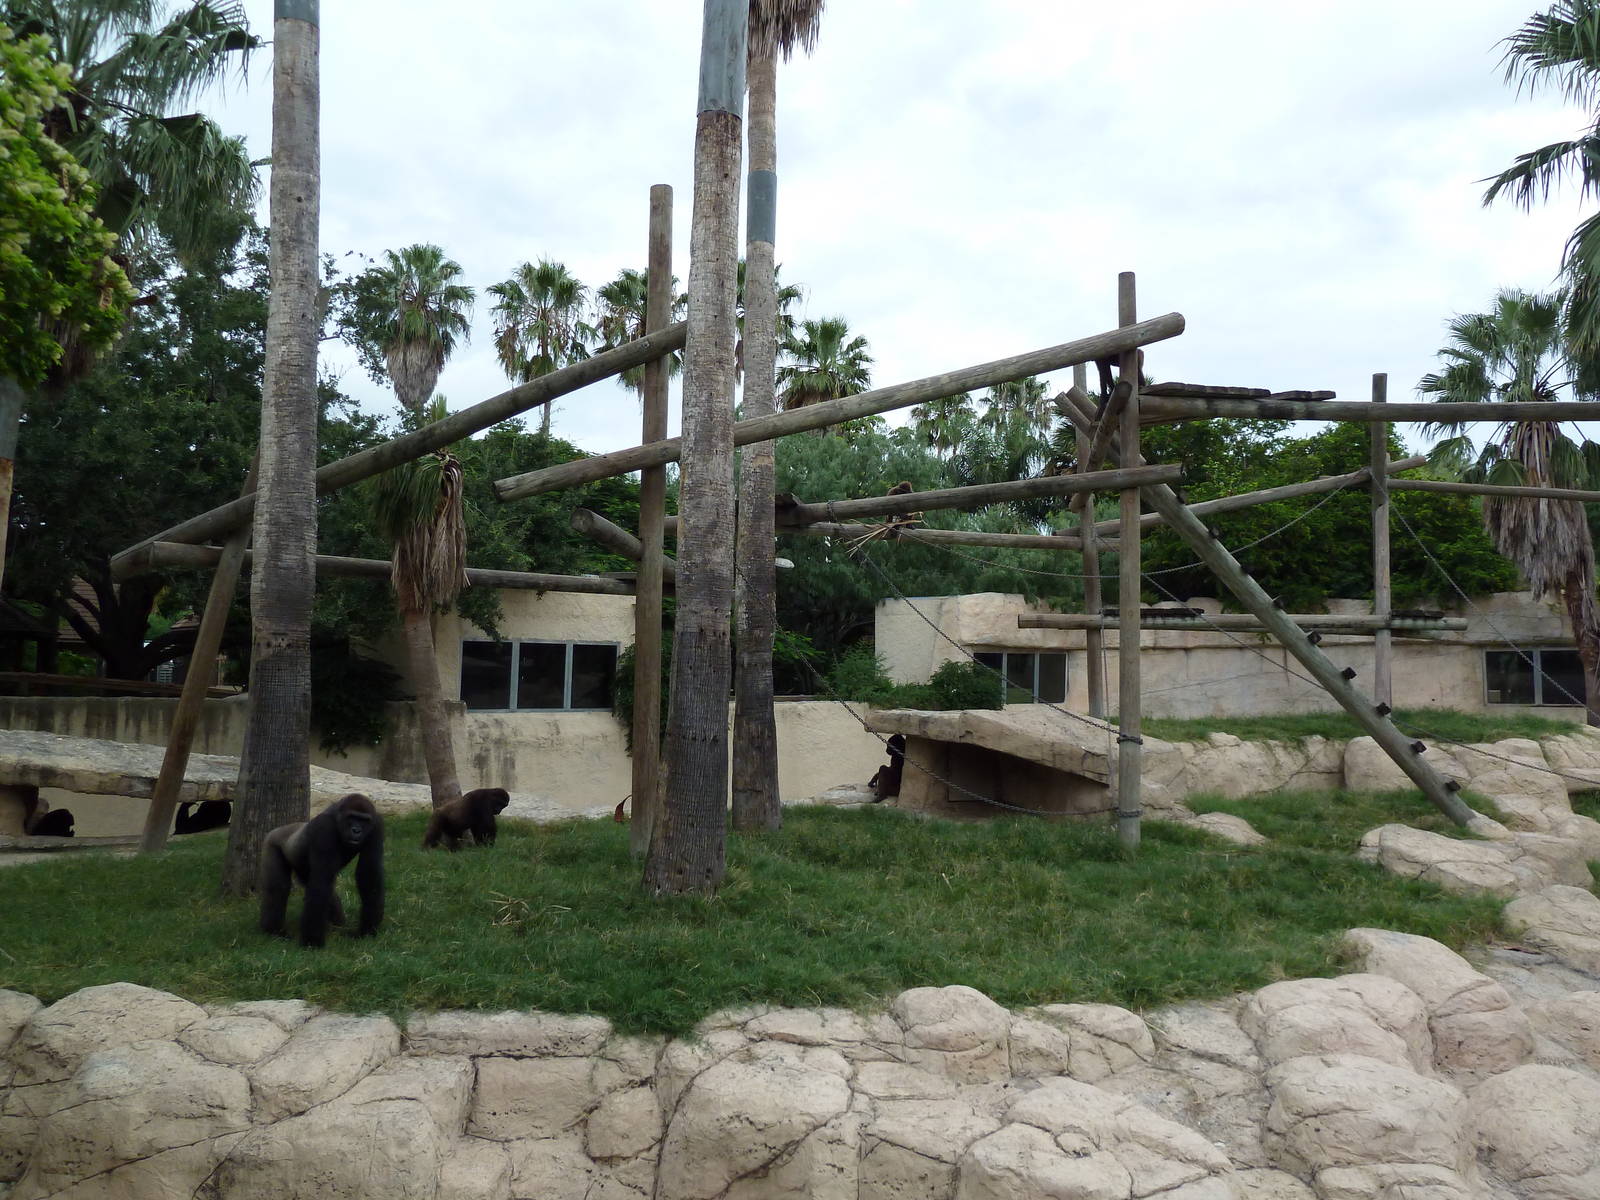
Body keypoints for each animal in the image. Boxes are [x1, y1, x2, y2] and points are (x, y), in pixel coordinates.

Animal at [259, 793, 384, 948]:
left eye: (364, 820)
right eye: (352, 817)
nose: (356, 830)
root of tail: (278, 830)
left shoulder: (377, 826)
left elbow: (369, 875)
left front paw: (365, 931)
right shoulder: (324, 828)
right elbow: (322, 881)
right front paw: (312, 942)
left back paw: (337, 925)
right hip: (271, 842)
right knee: (278, 889)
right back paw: (273, 931)